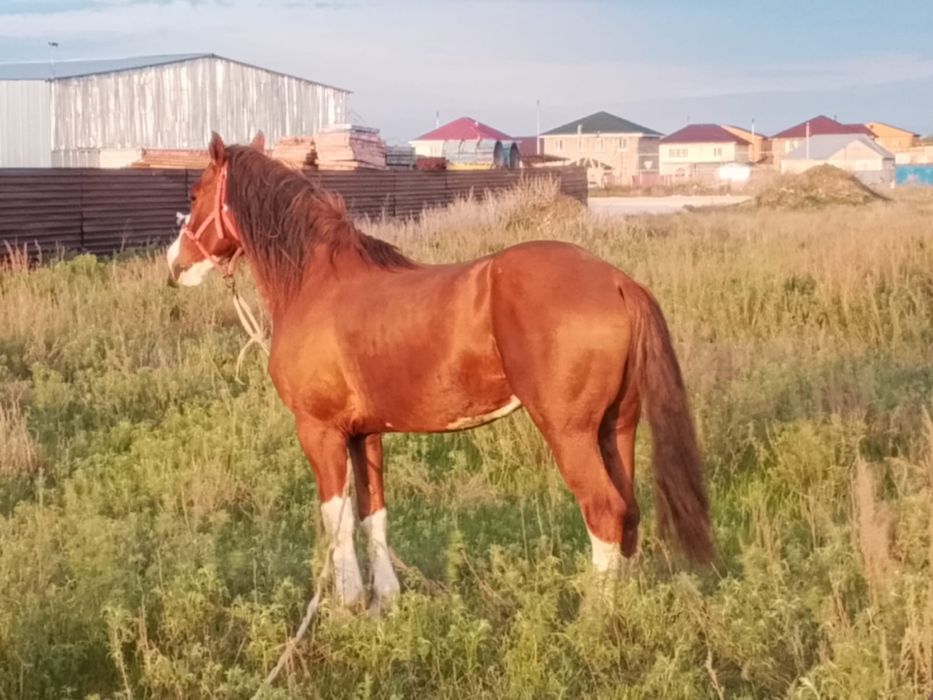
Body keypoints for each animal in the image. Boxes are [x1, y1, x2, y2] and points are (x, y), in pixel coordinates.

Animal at [167, 132, 711, 610]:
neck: (317, 282)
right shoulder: (364, 434)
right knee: (630, 513)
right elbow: (372, 515)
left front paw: (346, 606)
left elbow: (336, 519)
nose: (175, 265)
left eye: (195, 193)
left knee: (604, 511)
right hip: (616, 428)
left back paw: (592, 617)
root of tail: (618, 282)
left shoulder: (318, 432)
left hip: (570, 434)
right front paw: (385, 600)